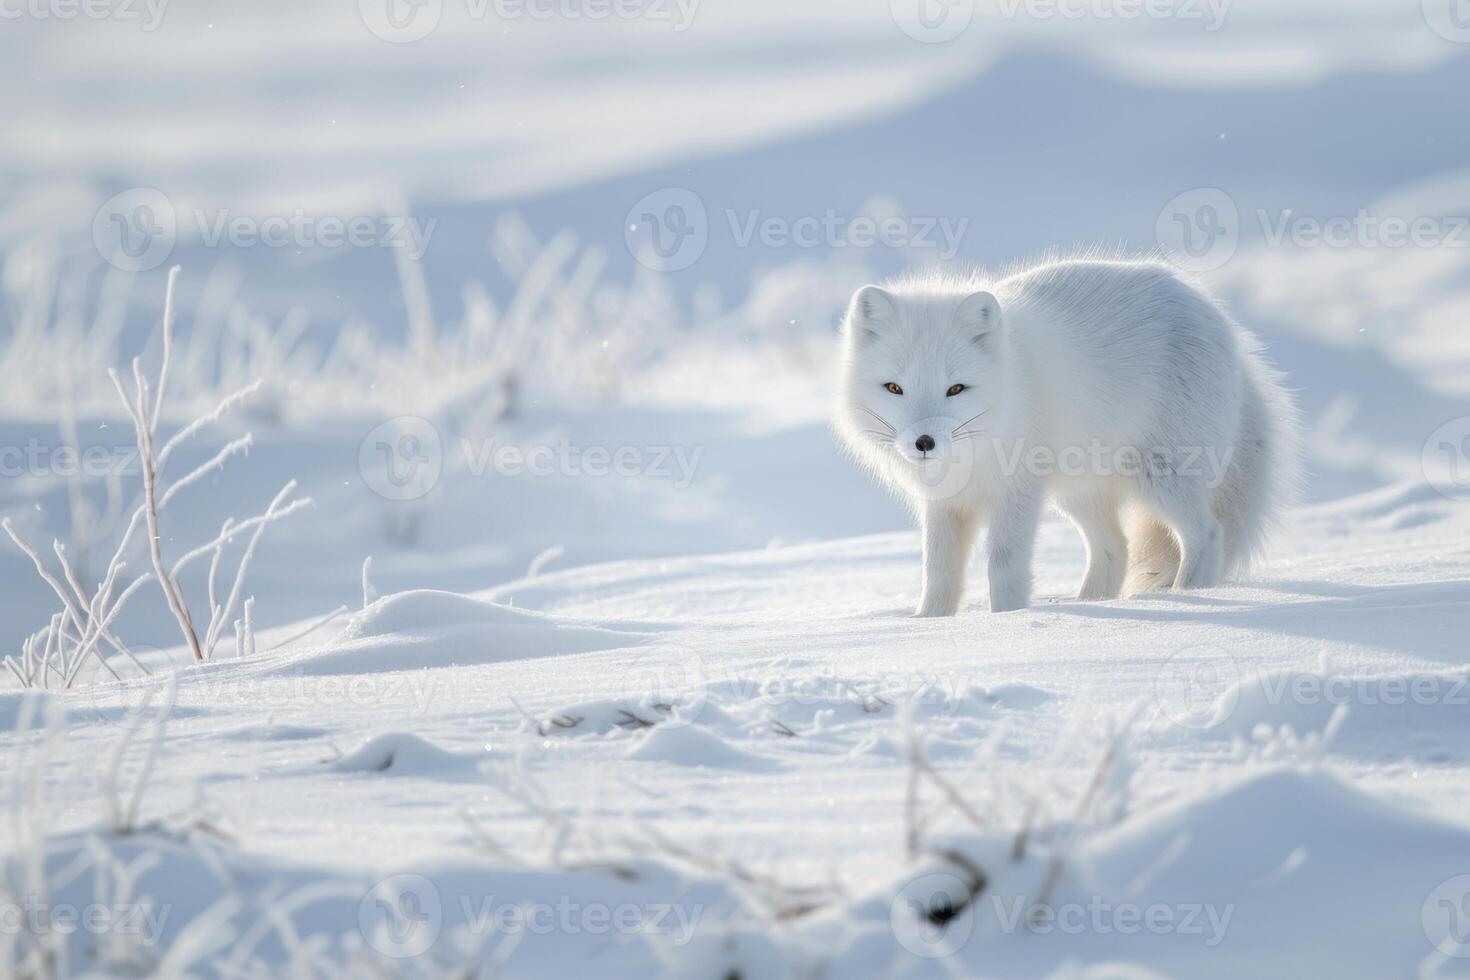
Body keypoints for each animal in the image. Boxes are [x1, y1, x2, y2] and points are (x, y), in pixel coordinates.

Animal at [840, 257, 1299, 617]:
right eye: (894, 388)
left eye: (956, 389)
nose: (924, 443)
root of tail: (1226, 327)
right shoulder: (944, 504)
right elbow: (937, 574)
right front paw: (929, 624)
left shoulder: (1018, 493)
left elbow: (1003, 566)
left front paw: (1006, 619)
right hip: (1079, 491)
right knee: (1115, 548)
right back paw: (1092, 605)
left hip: (1160, 477)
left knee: (1206, 533)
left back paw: (1184, 594)